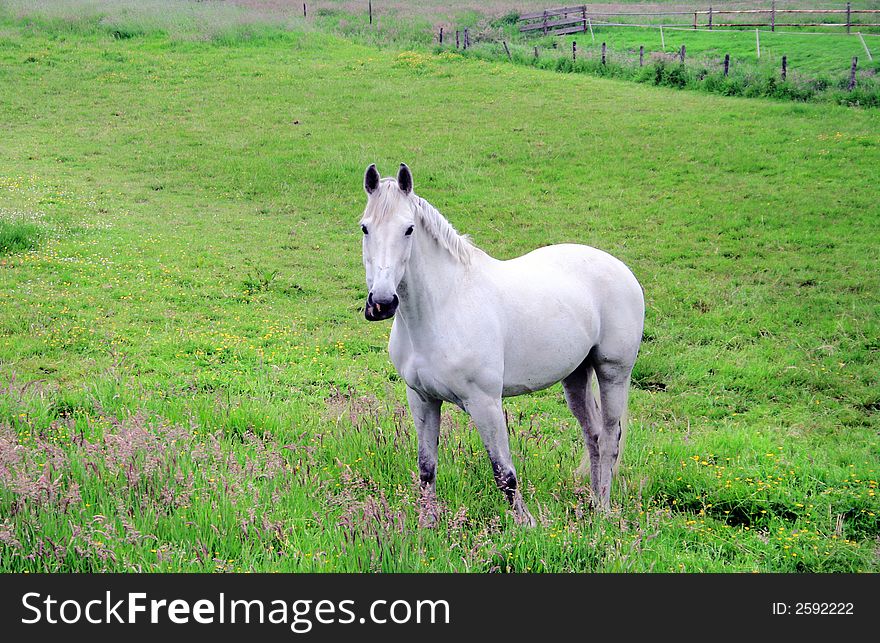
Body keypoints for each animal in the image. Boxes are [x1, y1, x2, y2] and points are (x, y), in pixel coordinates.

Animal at [360, 164, 648, 524]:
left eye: (408, 229)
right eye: (365, 228)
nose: (382, 303)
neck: (444, 307)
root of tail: (619, 268)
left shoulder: (485, 403)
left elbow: (504, 474)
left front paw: (529, 526)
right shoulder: (422, 400)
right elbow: (426, 469)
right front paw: (428, 525)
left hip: (613, 373)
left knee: (610, 439)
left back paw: (605, 512)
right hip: (576, 376)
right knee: (593, 436)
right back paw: (594, 503)